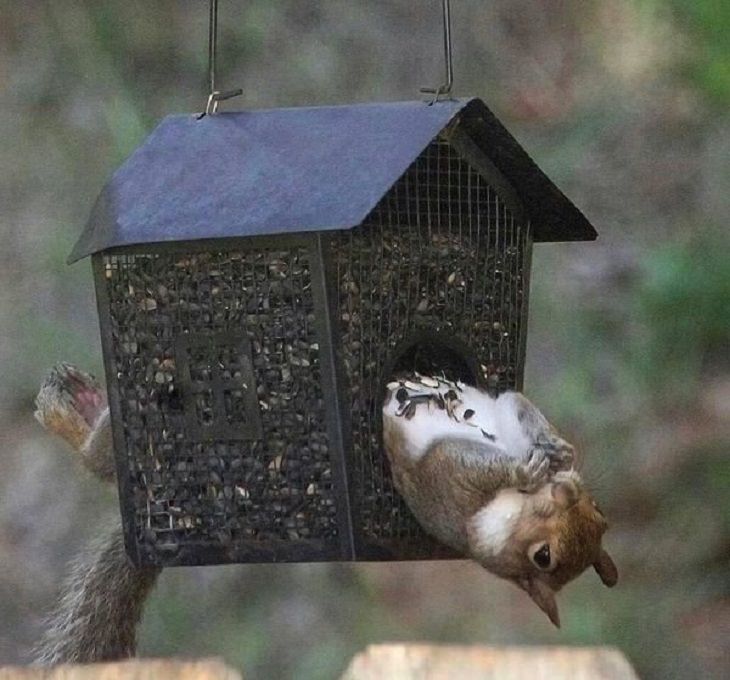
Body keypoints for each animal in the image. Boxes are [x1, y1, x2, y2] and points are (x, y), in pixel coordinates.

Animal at [382, 374, 616, 628]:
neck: (520, 500)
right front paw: (556, 455)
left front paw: (527, 469)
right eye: (600, 511)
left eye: (543, 557)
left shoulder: (452, 476)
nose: (569, 490)